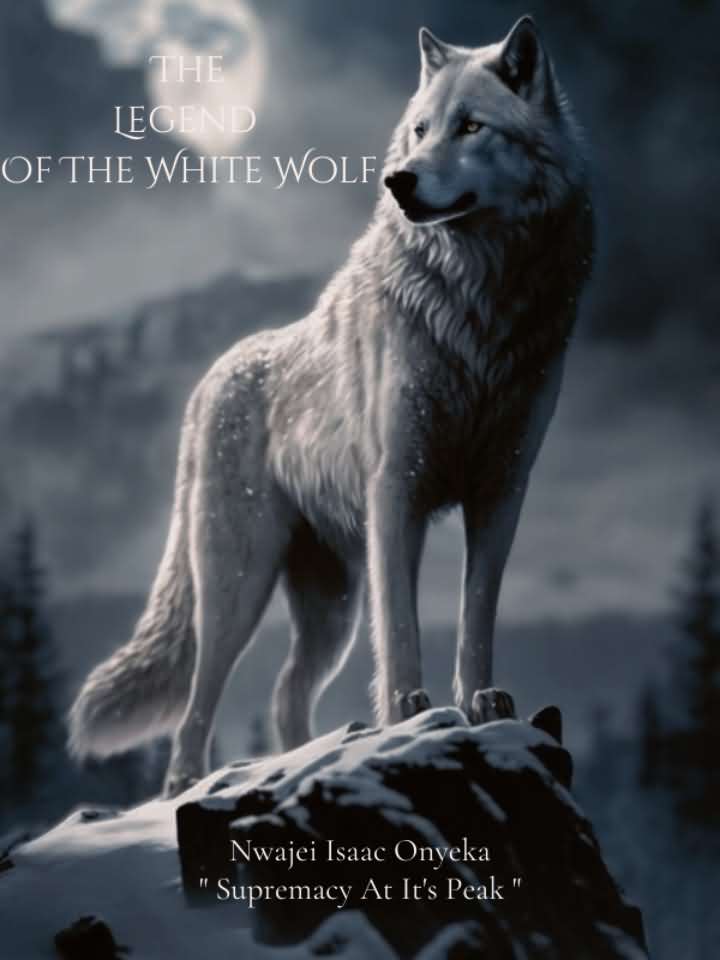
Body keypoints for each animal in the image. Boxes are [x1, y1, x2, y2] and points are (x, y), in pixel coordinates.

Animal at [69, 17, 593, 796]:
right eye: (419, 130)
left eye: (472, 126)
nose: (399, 181)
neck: (478, 307)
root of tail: (211, 379)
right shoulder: (397, 487)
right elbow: (401, 625)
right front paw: (410, 711)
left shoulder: (501, 490)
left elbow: (476, 614)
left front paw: (480, 703)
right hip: (238, 584)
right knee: (197, 703)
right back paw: (190, 783)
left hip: (330, 606)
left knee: (285, 693)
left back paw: (302, 760)